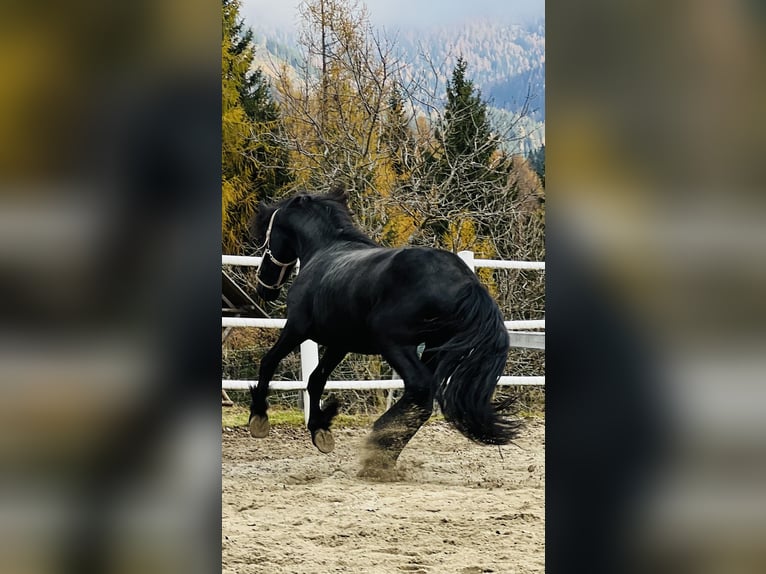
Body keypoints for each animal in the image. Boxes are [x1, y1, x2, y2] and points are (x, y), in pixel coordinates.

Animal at [249, 189, 520, 472]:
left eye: (267, 236)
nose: (264, 287)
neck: (324, 250)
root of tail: (466, 282)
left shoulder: (296, 328)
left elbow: (269, 362)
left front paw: (259, 418)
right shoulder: (339, 343)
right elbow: (316, 380)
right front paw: (320, 430)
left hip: (393, 342)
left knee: (420, 389)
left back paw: (379, 443)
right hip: (434, 347)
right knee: (421, 398)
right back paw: (384, 453)